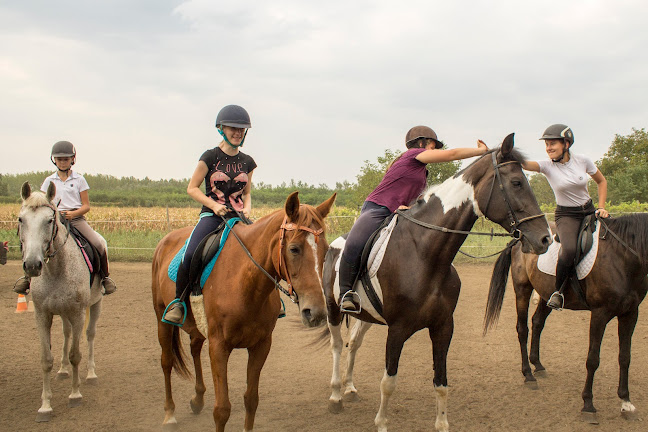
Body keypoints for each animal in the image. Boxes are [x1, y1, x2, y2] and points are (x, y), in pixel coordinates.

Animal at [151, 192, 334, 432]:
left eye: (326, 250)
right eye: (294, 248)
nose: (317, 312)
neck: (244, 283)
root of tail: (165, 240)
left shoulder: (261, 345)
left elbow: (251, 400)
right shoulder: (219, 346)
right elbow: (222, 409)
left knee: (194, 348)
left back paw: (197, 399)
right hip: (161, 318)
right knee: (167, 362)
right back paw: (170, 413)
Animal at [324, 133, 552, 430]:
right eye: (516, 182)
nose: (545, 239)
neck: (424, 253)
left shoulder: (443, 327)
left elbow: (441, 382)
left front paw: (442, 423)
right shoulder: (397, 330)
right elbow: (388, 382)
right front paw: (382, 423)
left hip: (366, 316)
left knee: (353, 344)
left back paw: (350, 388)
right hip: (332, 309)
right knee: (338, 346)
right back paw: (336, 395)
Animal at [486, 211, 648, 424]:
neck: (622, 256)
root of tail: (520, 238)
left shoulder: (630, 313)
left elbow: (625, 357)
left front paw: (626, 402)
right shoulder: (600, 314)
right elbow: (593, 359)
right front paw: (588, 404)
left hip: (546, 293)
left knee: (537, 323)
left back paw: (538, 365)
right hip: (522, 289)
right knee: (522, 329)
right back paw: (528, 374)